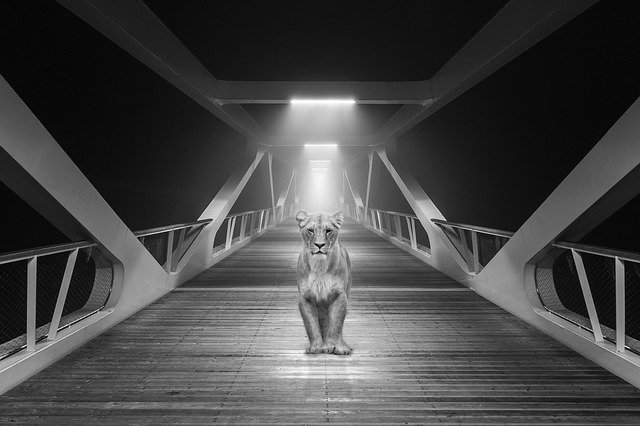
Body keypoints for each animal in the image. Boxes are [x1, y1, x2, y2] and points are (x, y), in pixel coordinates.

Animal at [296, 211, 352, 356]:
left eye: (328, 230)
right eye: (310, 230)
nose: (319, 245)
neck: (320, 266)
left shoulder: (339, 295)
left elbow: (336, 324)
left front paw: (334, 347)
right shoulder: (305, 297)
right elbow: (311, 325)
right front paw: (315, 347)